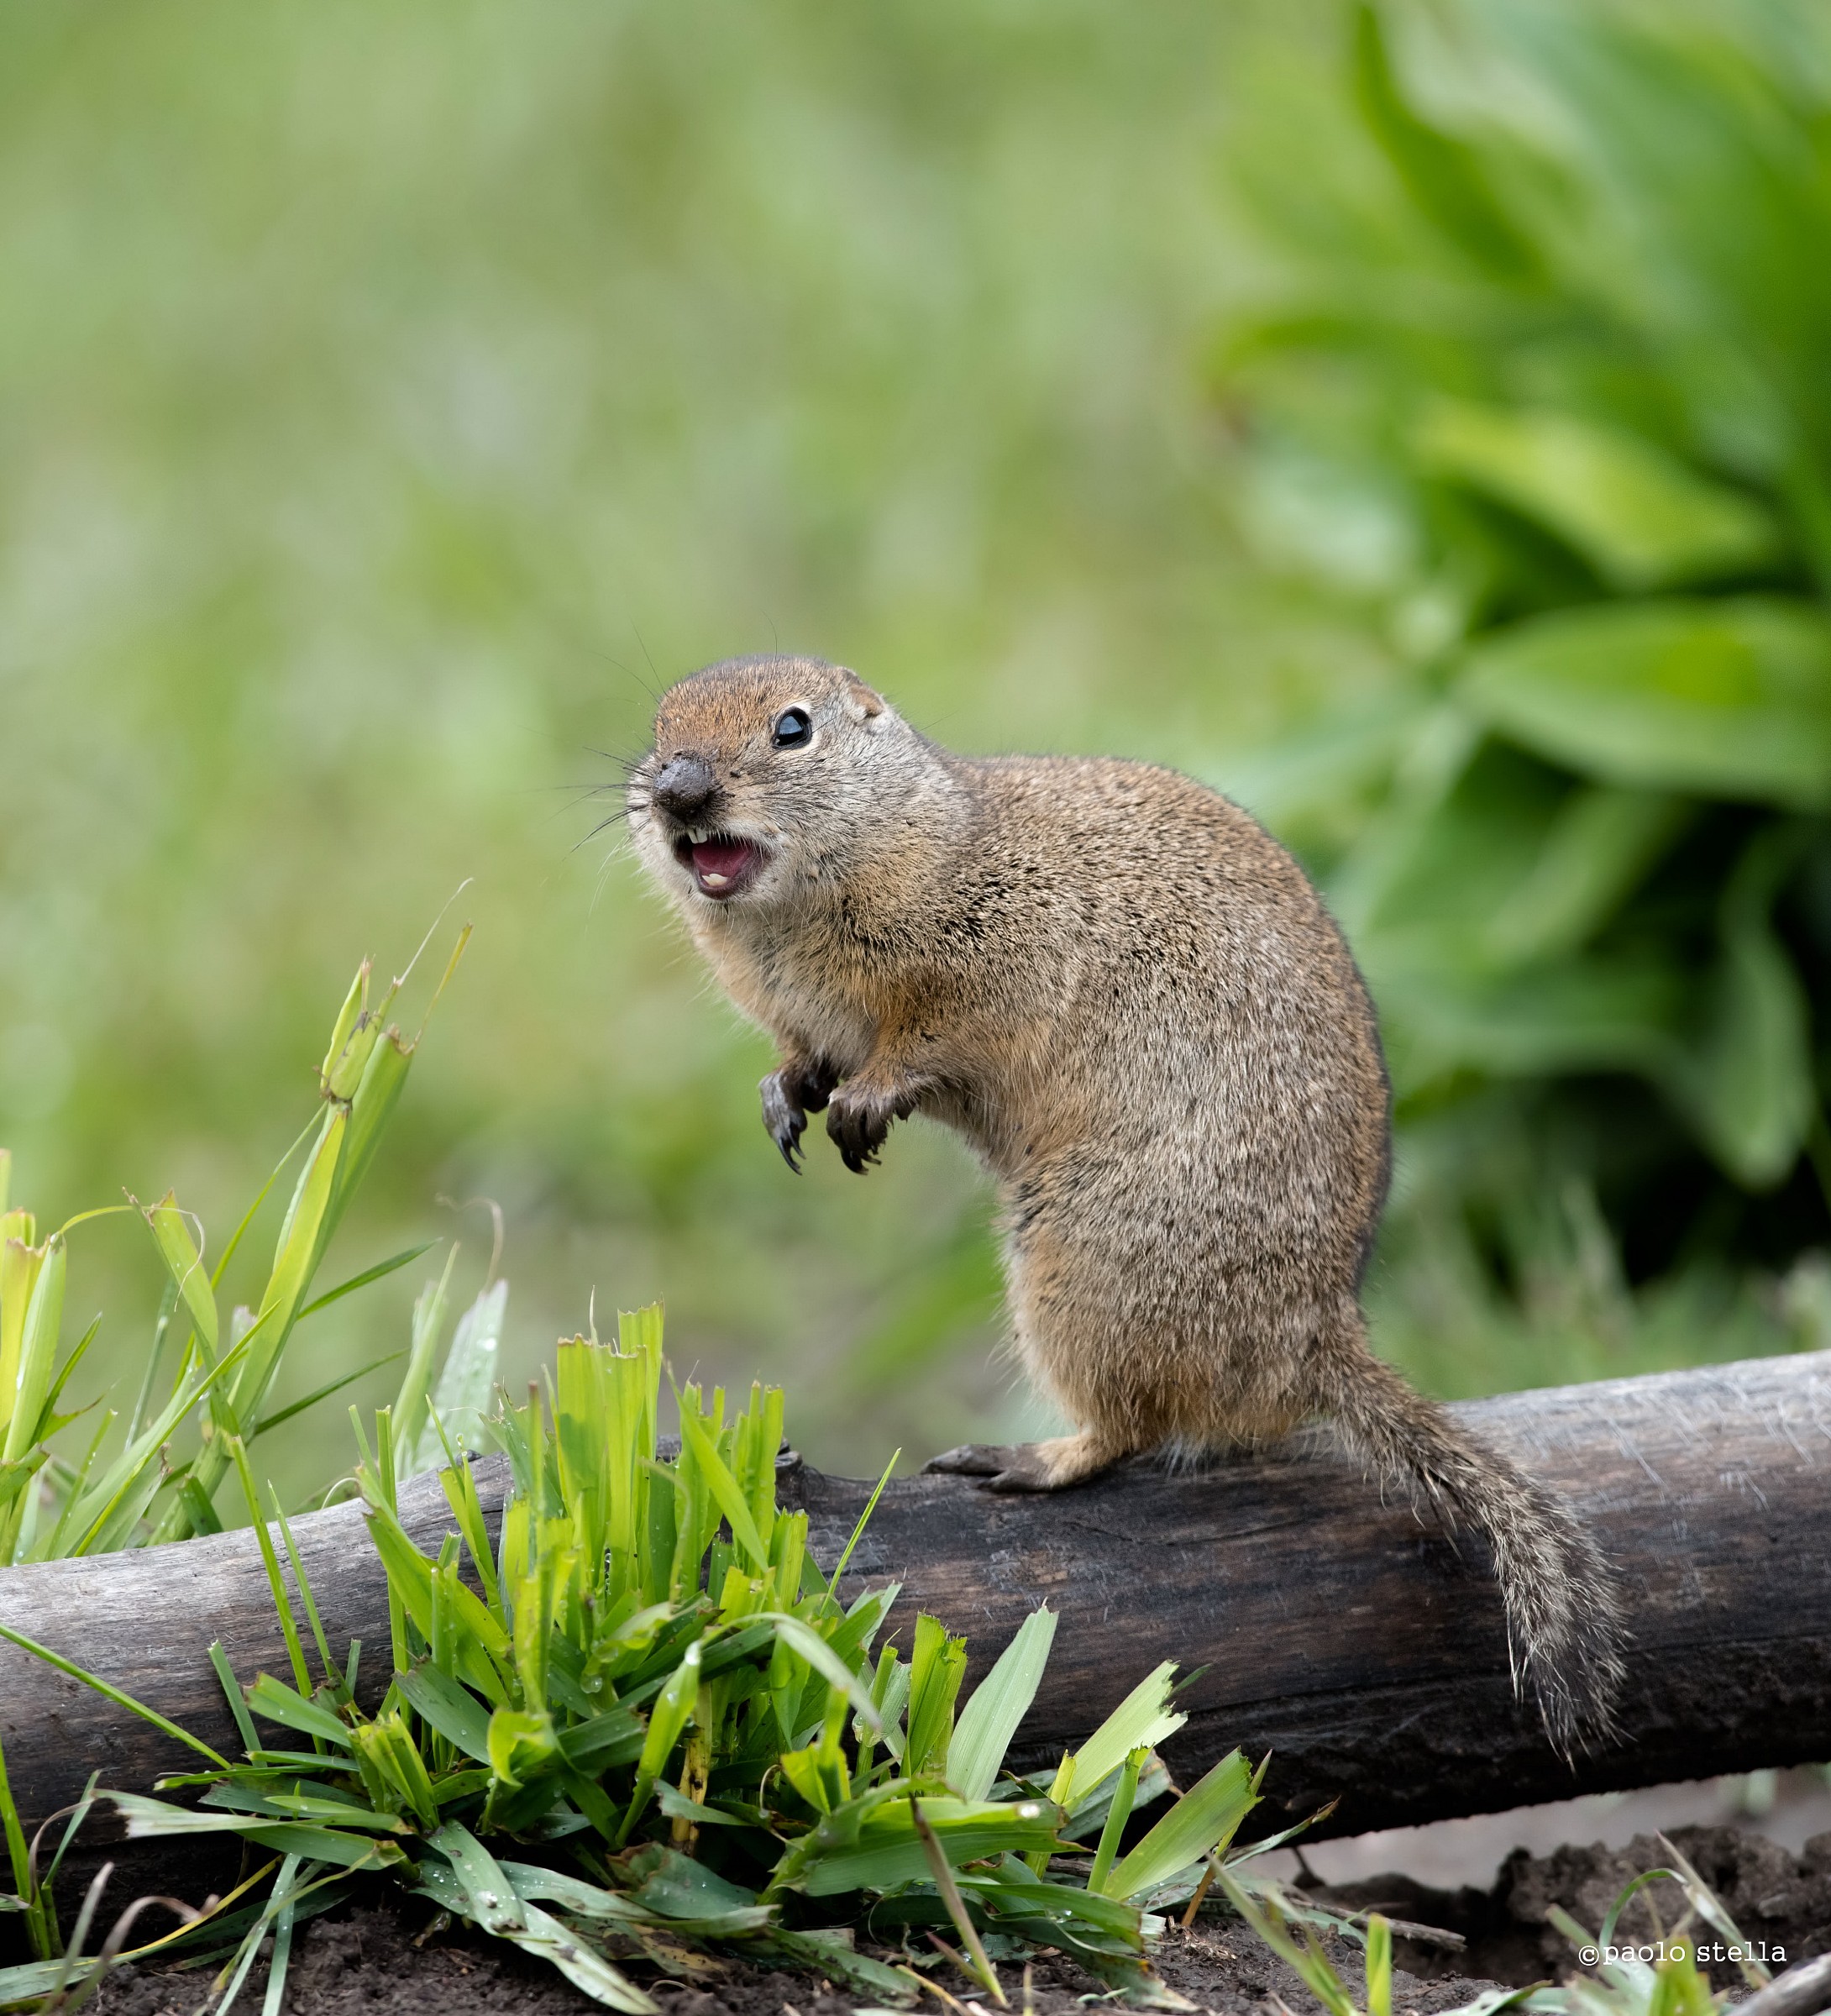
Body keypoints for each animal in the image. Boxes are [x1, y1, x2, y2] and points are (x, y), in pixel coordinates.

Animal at [628, 653, 1626, 1753]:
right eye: (656, 723)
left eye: (792, 729)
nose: (676, 790)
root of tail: (1313, 1336)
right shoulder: (802, 1013)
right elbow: (804, 1057)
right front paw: (784, 1096)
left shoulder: (982, 963)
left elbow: (924, 1042)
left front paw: (863, 1100)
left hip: (1080, 1265)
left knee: (1129, 1429)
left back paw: (1028, 1458)